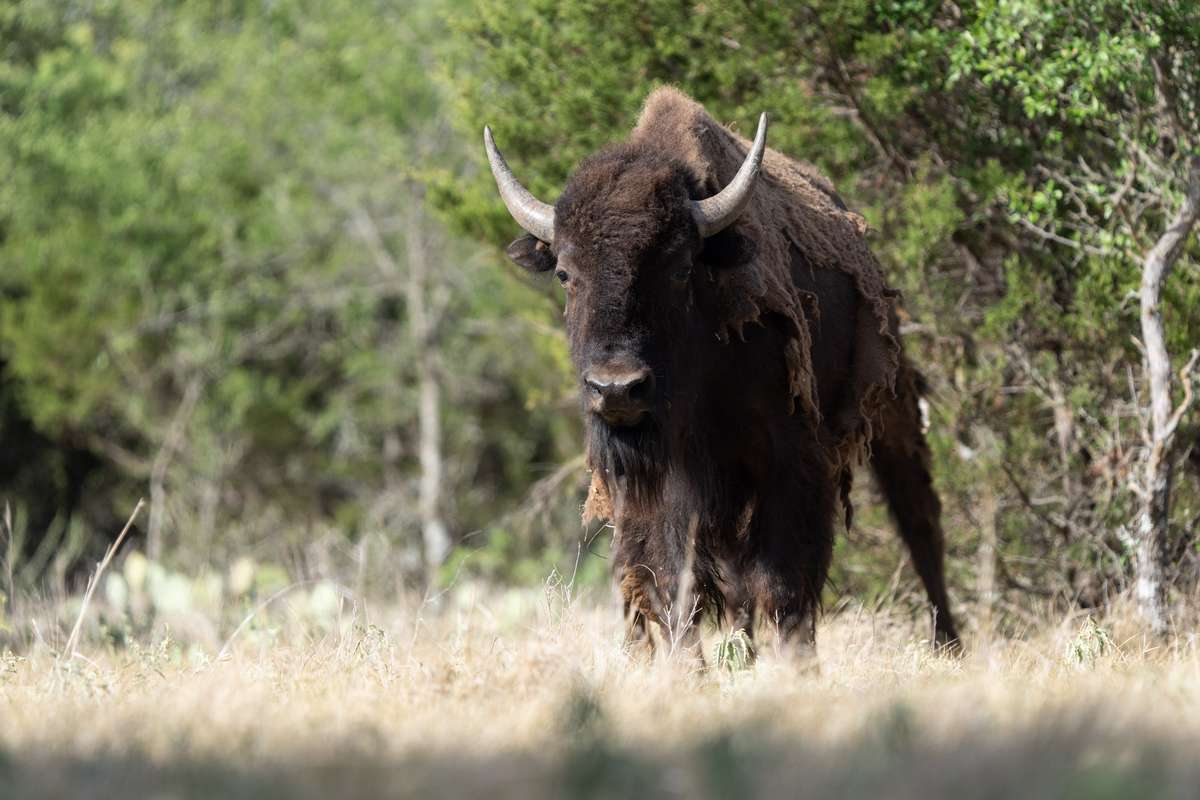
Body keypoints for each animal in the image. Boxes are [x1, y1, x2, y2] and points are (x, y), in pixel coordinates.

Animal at [482, 89, 960, 662]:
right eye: (564, 273)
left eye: (680, 269)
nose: (617, 388)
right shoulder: (657, 483)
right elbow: (670, 579)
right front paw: (691, 666)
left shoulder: (790, 460)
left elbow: (783, 581)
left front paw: (795, 664)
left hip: (892, 414)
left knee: (920, 523)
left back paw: (948, 645)